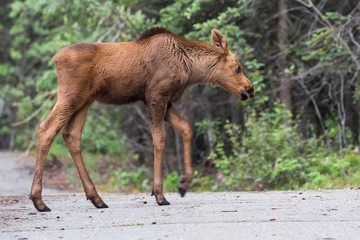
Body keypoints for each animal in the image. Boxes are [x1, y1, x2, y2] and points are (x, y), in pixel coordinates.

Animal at [29, 28, 253, 212]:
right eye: (238, 67)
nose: (250, 89)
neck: (190, 69)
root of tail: (56, 58)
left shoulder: (165, 101)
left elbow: (186, 128)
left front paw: (183, 183)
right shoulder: (156, 95)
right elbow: (160, 139)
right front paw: (159, 194)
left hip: (85, 99)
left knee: (71, 134)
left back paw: (96, 198)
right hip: (71, 95)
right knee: (46, 128)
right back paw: (39, 200)